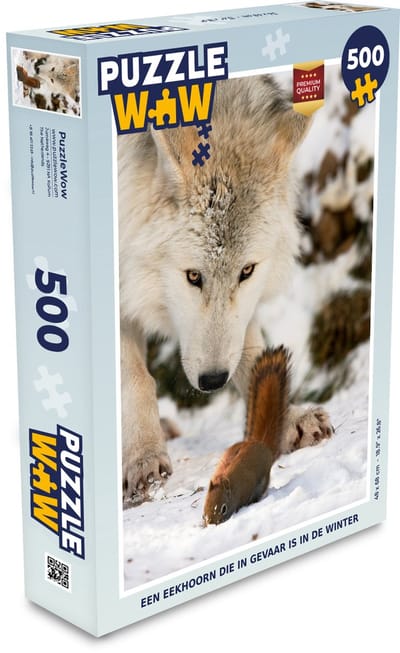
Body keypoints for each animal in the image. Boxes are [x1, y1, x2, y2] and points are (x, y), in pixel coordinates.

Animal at [118, 75, 332, 501]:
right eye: (193, 276)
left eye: (247, 271)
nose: (214, 380)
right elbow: (135, 378)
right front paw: (143, 459)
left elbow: (253, 351)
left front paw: (287, 419)